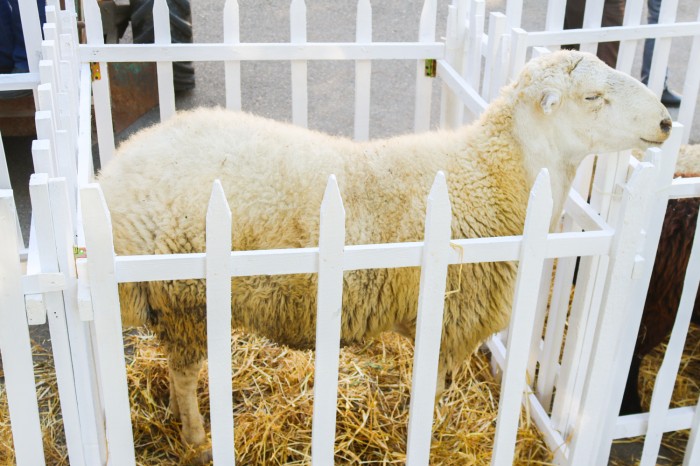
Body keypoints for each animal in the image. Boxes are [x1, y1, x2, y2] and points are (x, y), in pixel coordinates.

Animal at [95, 50, 668, 456]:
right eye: (592, 96)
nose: (665, 121)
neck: (488, 173)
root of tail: (115, 172)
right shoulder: (450, 317)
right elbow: (432, 391)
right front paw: (426, 435)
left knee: (177, 368)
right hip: (187, 295)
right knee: (185, 371)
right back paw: (195, 436)